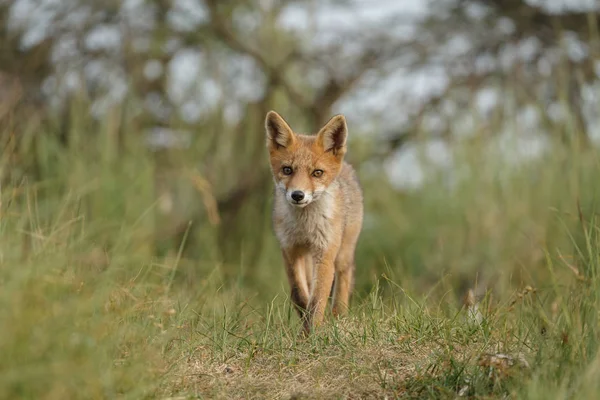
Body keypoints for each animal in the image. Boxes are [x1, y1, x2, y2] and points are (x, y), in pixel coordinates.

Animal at [264, 110, 364, 334]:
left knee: (344, 280)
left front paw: (312, 333)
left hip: (343, 253)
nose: (297, 195)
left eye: (317, 173)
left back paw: (338, 317)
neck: (305, 227)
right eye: (287, 170)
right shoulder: (290, 250)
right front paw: (305, 326)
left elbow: (317, 299)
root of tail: (347, 168)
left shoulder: (325, 252)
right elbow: (300, 294)